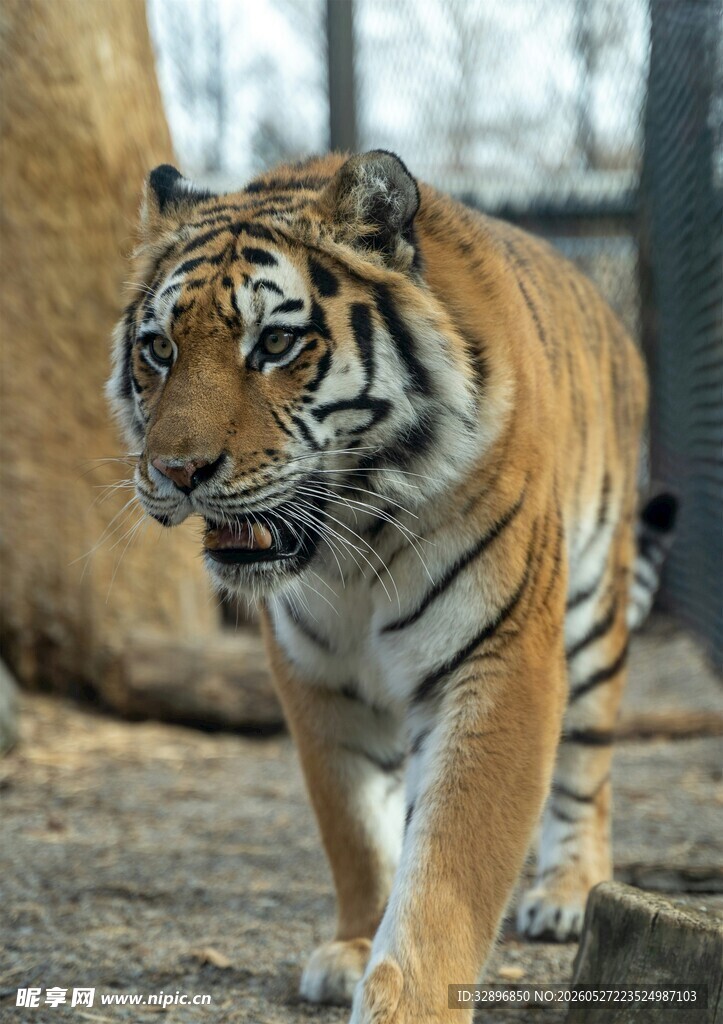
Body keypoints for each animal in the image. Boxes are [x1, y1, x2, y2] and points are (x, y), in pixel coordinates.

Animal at [108, 151, 676, 1024]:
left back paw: (565, 892)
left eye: (275, 343)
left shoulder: (499, 657)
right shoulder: (315, 674)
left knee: (587, 763)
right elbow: (352, 825)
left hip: (592, 610)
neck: (353, 548)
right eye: (160, 349)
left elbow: (451, 861)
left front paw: (409, 1003)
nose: (175, 472)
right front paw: (353, 945)